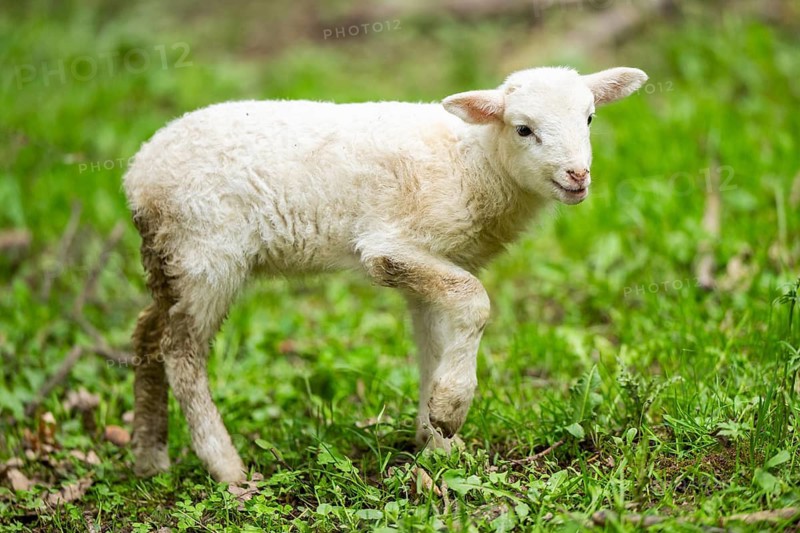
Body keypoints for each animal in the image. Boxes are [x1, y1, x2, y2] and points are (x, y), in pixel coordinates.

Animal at [123, 66, 647, 482]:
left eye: (589, 118)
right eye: (523, 129)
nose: (578, 176)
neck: (472, 162)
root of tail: (137, 175)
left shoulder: (432, 265)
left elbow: (434, 344)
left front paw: (437, 441)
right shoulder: (390, 248)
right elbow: (474, 300)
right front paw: (451, 409)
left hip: (169, 255)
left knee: (148, 332)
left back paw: (150, 458)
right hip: (207, 250)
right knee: (181, 350)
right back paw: (227, 469)